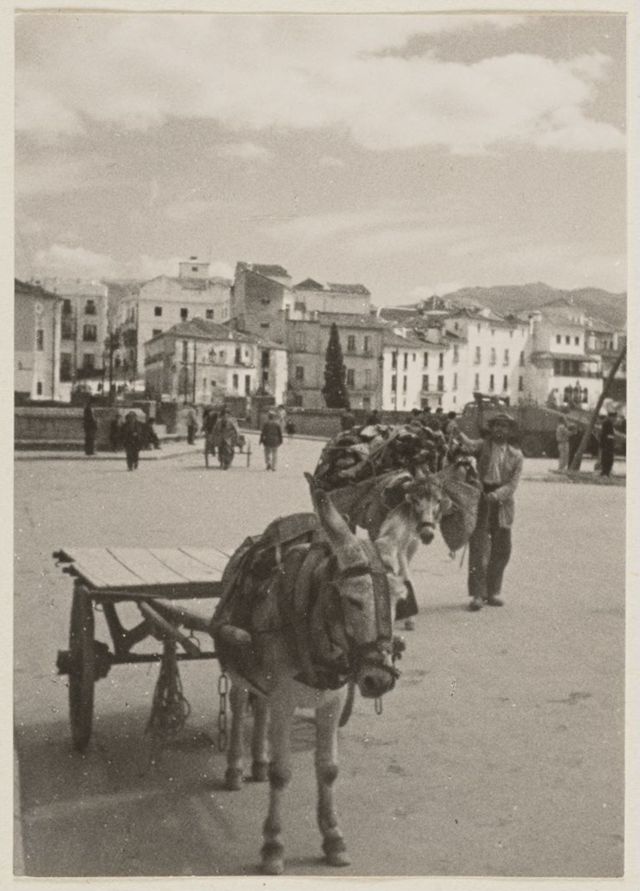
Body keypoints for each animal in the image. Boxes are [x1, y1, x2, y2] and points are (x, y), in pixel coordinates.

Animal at [211, 477, 407, 875]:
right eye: (351, 600)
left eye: (398, 601)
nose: (378, 680)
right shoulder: (285, 701)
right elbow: (282, 773)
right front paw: (272, 846)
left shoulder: (330, 702)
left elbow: (329, 768)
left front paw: (333, 838)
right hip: (236, 667)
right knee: (239, 705)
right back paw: (236, 769)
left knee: (260, 706)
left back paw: (257, 762)